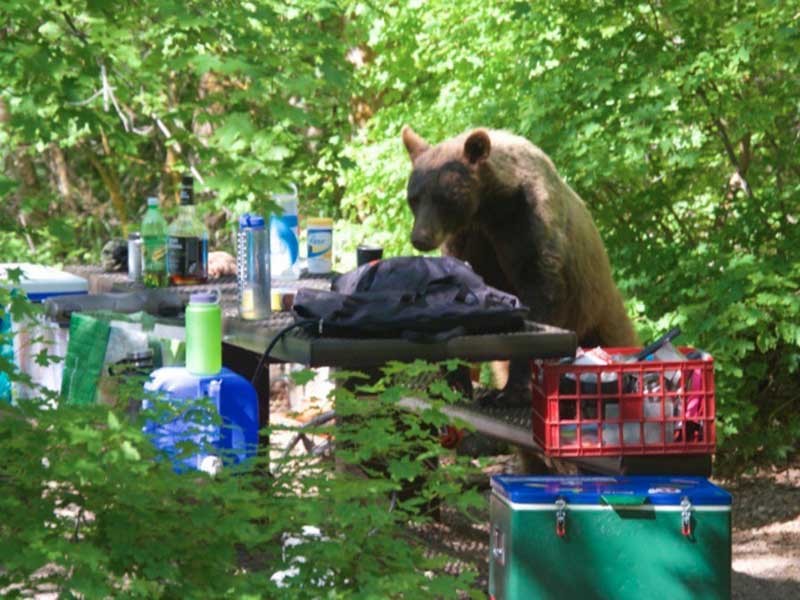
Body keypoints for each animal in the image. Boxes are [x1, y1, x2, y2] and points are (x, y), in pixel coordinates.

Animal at [401, 126, 638, 405]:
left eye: (445, 198)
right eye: (414, 198)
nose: (420, 238)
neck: (490, 209)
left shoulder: (527, 224)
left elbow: (538, 292)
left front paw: (513, 391)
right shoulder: (468, 238)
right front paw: (456, 381)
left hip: (596, 310)